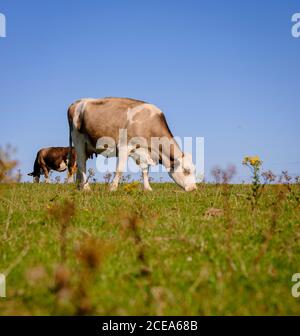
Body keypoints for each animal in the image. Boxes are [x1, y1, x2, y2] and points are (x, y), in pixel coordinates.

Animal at [67, 97, 197, 192]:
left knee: (80, 165)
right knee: (81, 164)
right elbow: (119, 169)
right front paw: (113, 188)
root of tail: (76, 103)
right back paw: (86, 187)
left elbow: (145, 170)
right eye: (186, 171)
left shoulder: (143, 151)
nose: (193, 188)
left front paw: (147, 188)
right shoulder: (124, 146)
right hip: (78, 139)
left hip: (86, 146)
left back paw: (80, 186)